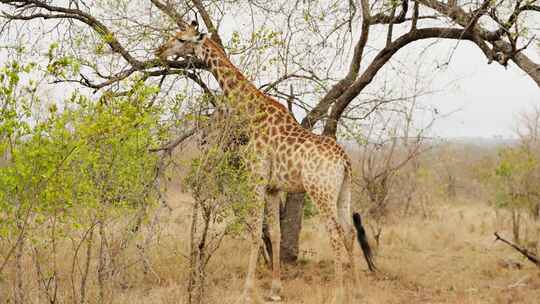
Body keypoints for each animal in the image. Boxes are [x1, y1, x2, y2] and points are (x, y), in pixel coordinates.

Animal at [156, 20, 376, 302]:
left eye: (182, 39)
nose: (160, 50)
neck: (253, 113)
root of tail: (345, 160)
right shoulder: (273, 187)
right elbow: (275, 233)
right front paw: (275, 290)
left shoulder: (256, 179)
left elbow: (254, 232)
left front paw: (246, 291)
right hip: (343, 191)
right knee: (348, 232)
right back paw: (357, 291)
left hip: (320, 191)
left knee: (335, 233)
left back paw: (338, 294)